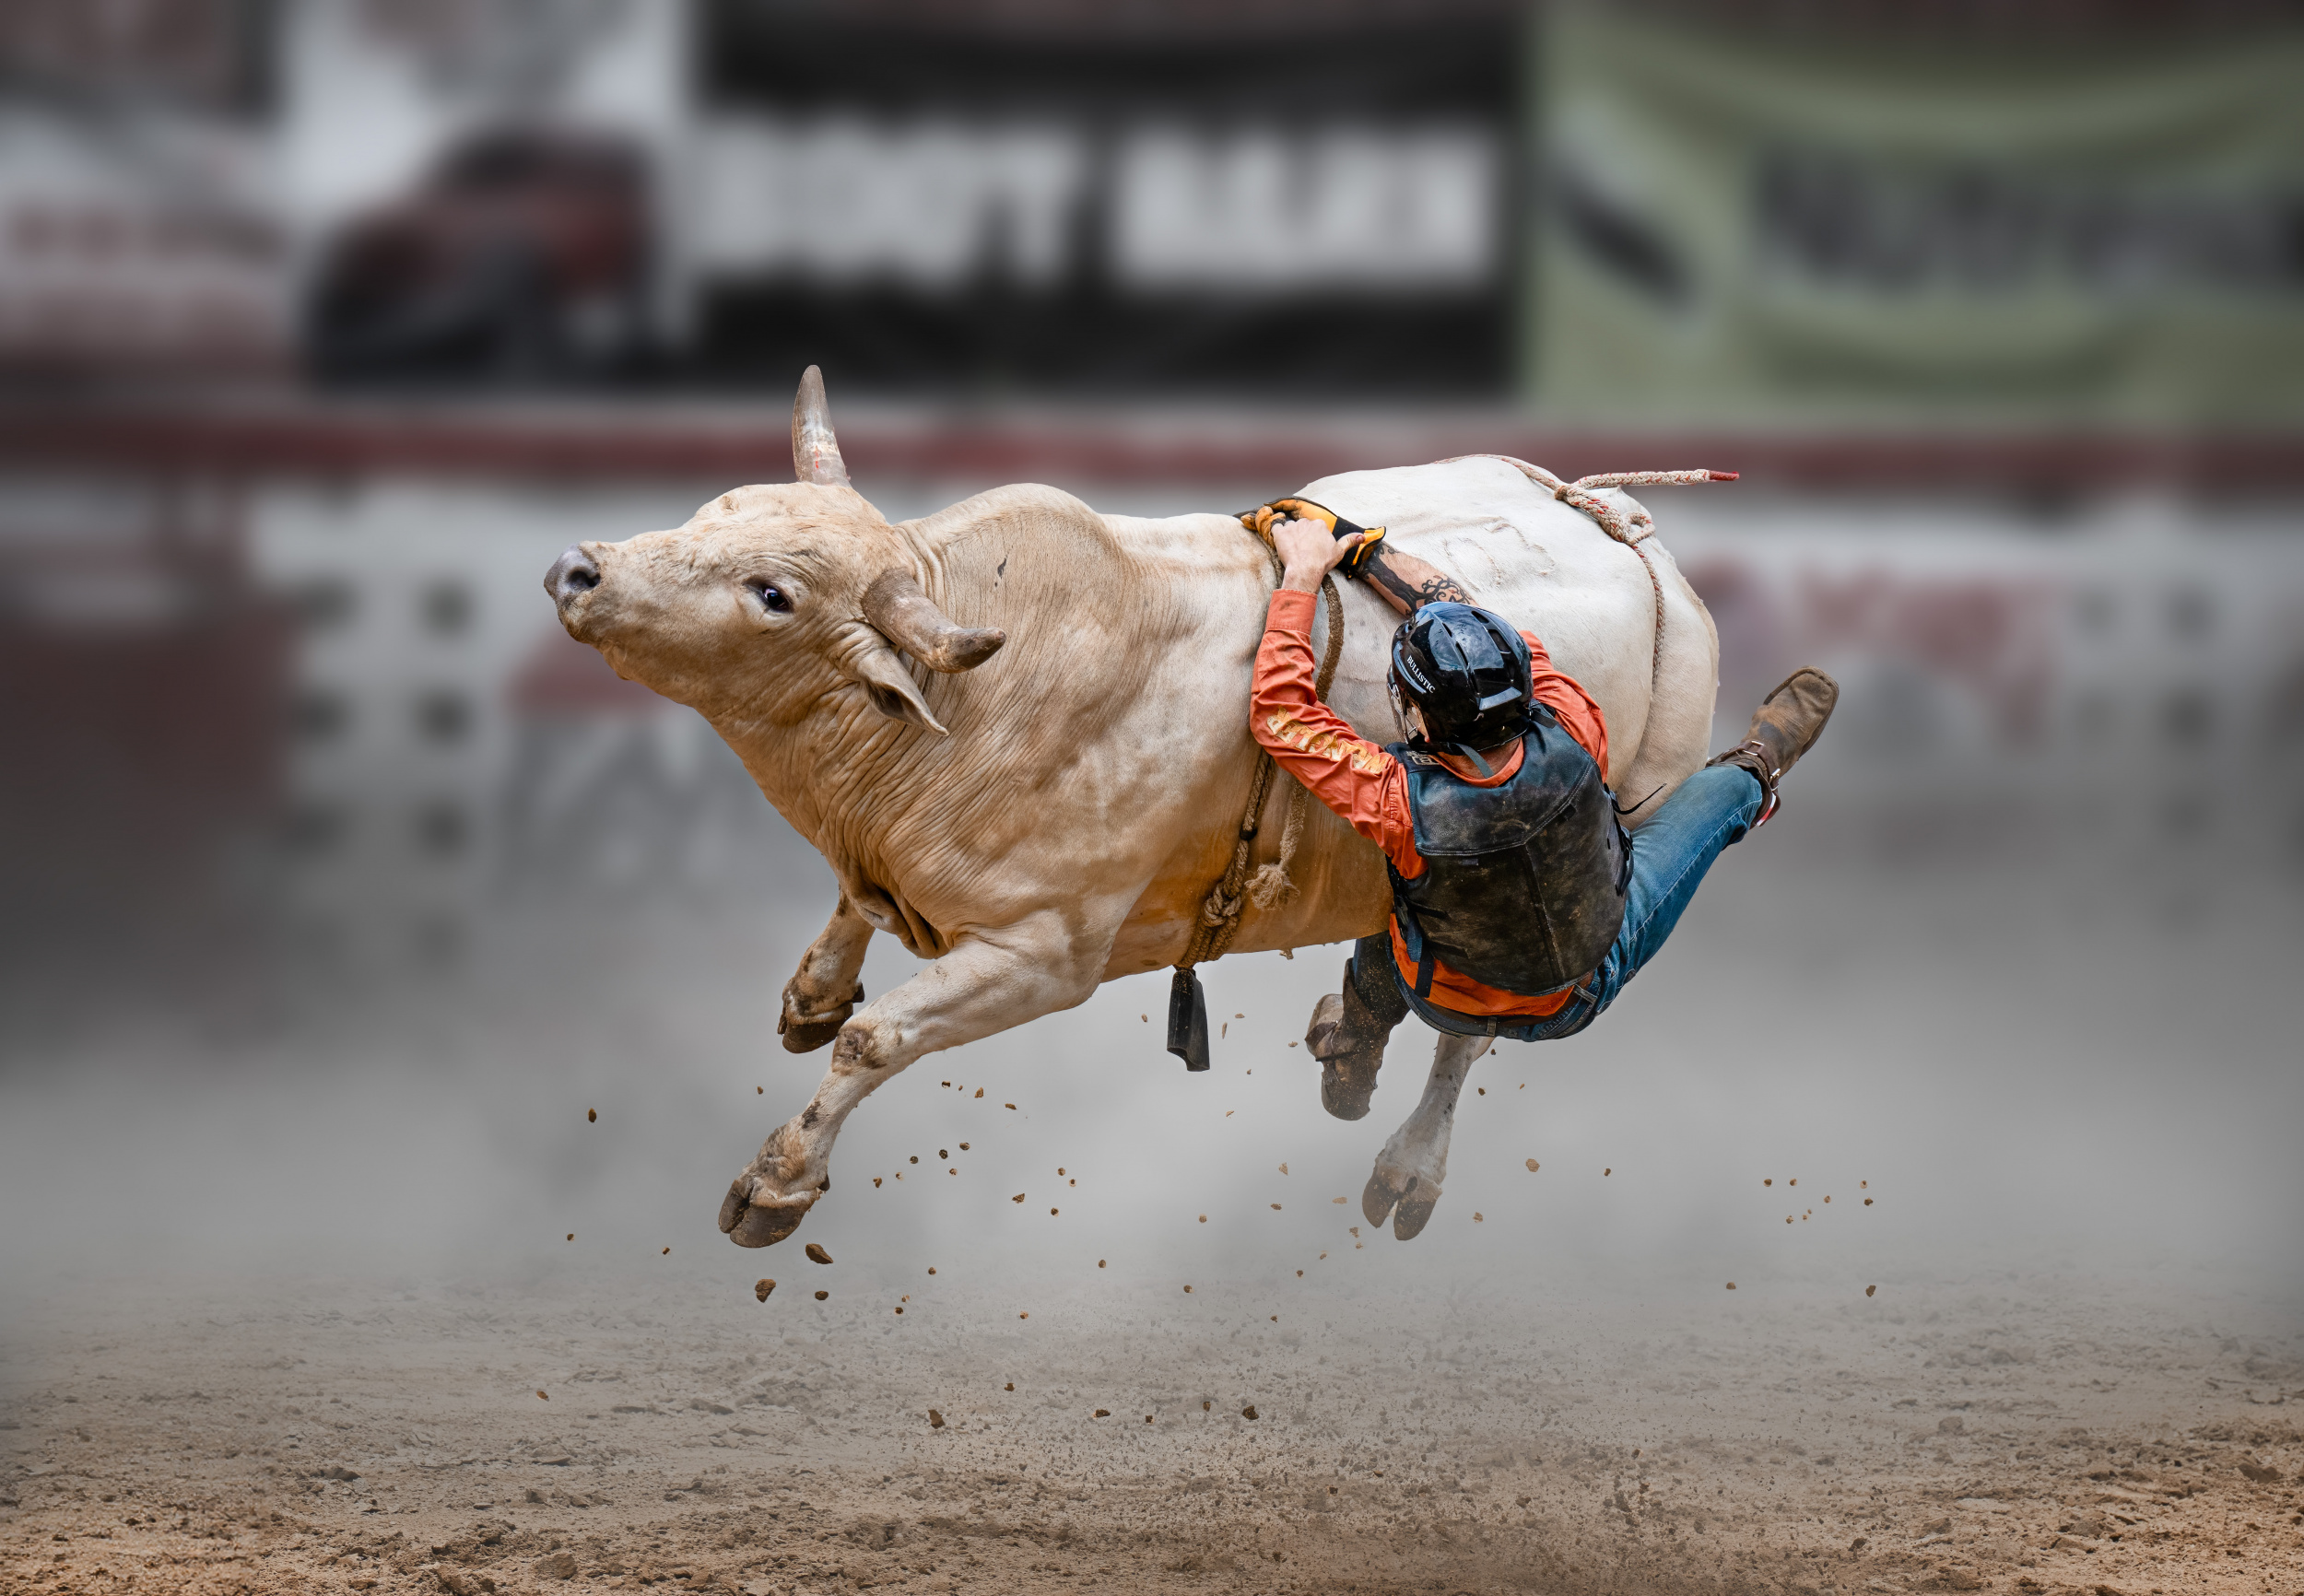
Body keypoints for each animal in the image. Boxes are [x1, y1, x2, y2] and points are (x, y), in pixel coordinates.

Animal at [544, 369, 1721, 1248]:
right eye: (715, 508)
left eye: (773, 594)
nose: (576, 568)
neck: (974, 698)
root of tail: (1616, 521)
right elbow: (850, 921)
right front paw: (812, 994)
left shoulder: (1045, 956)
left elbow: (875, 1044)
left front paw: (777, 1181)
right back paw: (1349, 1031)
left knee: (1469, 1036)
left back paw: (1406, 1167)